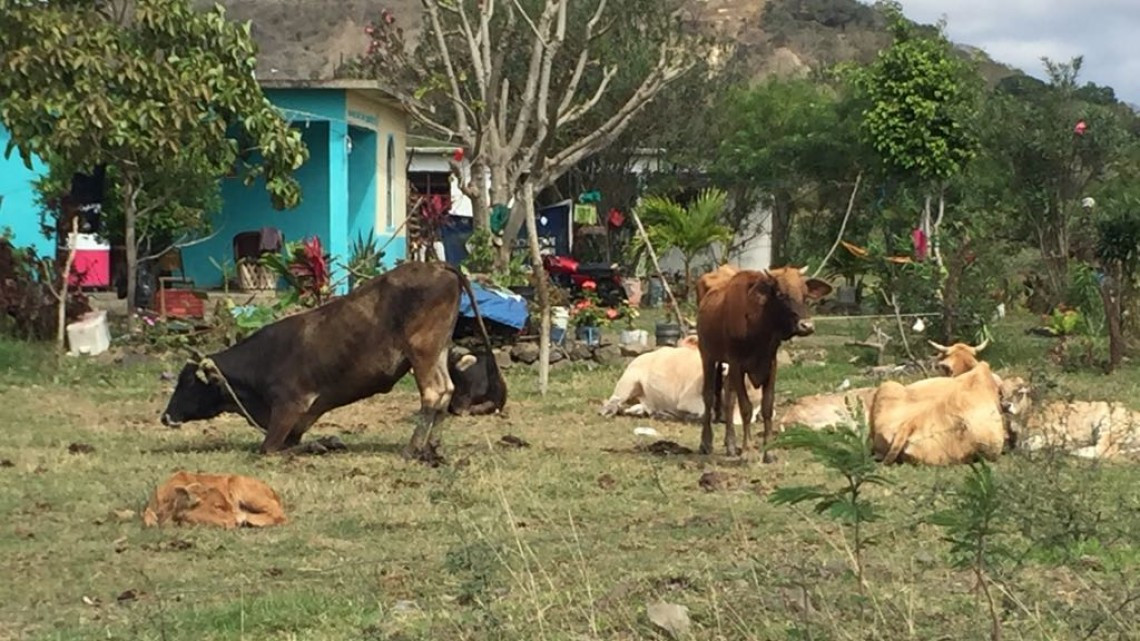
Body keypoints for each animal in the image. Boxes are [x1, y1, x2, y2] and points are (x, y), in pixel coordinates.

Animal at [160, 261, 503, 462]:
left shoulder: (289, 406)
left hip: (423, 351)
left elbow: (268, 449)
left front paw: (322, 443)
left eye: (187, 382)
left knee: (434, 393)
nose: (165, 416)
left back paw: (413, 449)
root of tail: (438, 266)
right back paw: (433, 448)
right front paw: (327, 441)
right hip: (439, 349)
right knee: (446, 391)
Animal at [697, 266, 833, 460]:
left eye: (805, 294)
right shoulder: (737, 363)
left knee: (729, 396)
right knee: (708, 396)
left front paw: (769, 451)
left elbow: (767, 406)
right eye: (781, 294)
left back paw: (730, 444)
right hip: (707, 355)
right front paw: (748, 451)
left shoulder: (770, 364)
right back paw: (706, 442)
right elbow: (746, 408)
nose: (806, 326)